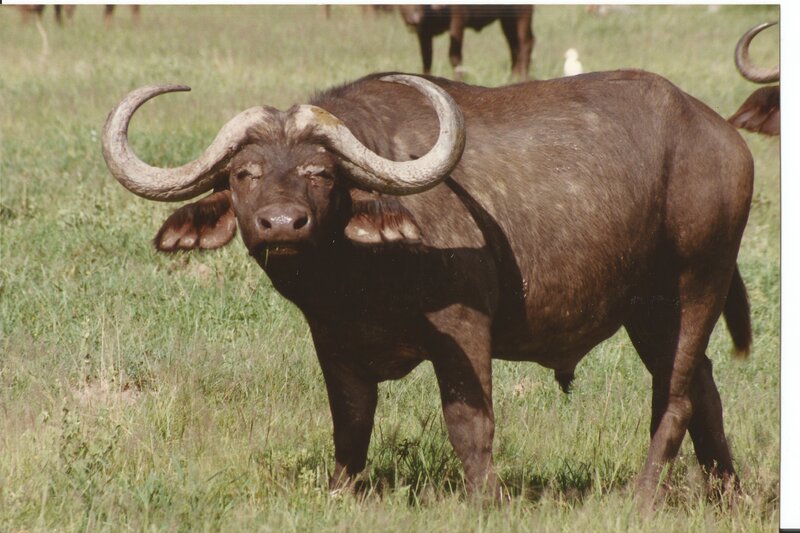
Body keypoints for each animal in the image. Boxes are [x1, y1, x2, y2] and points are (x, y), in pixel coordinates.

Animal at [103, 71, 753, 504]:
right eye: (244, 174)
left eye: (321, 173)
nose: (283, 224)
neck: (357, 276)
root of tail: (723, 136)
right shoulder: (333, 342)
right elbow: (350, 424)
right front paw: (340, 494)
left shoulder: (464, 330)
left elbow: (469, 425)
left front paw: (487, 501)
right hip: (648, 311)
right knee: (703, 387)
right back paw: (728, 491)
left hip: (699, 281)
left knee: (674, 397)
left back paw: (643, 497)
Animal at [399, 5, 534, 81]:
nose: (414, 18)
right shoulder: (423, 32)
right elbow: (426, 58)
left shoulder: (458, 20)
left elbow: (454, 55)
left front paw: (459, 79)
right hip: (507, 20)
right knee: (514, 46)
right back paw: (512, 77)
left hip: (523, 14)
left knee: (526, 43)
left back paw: (523, 77)